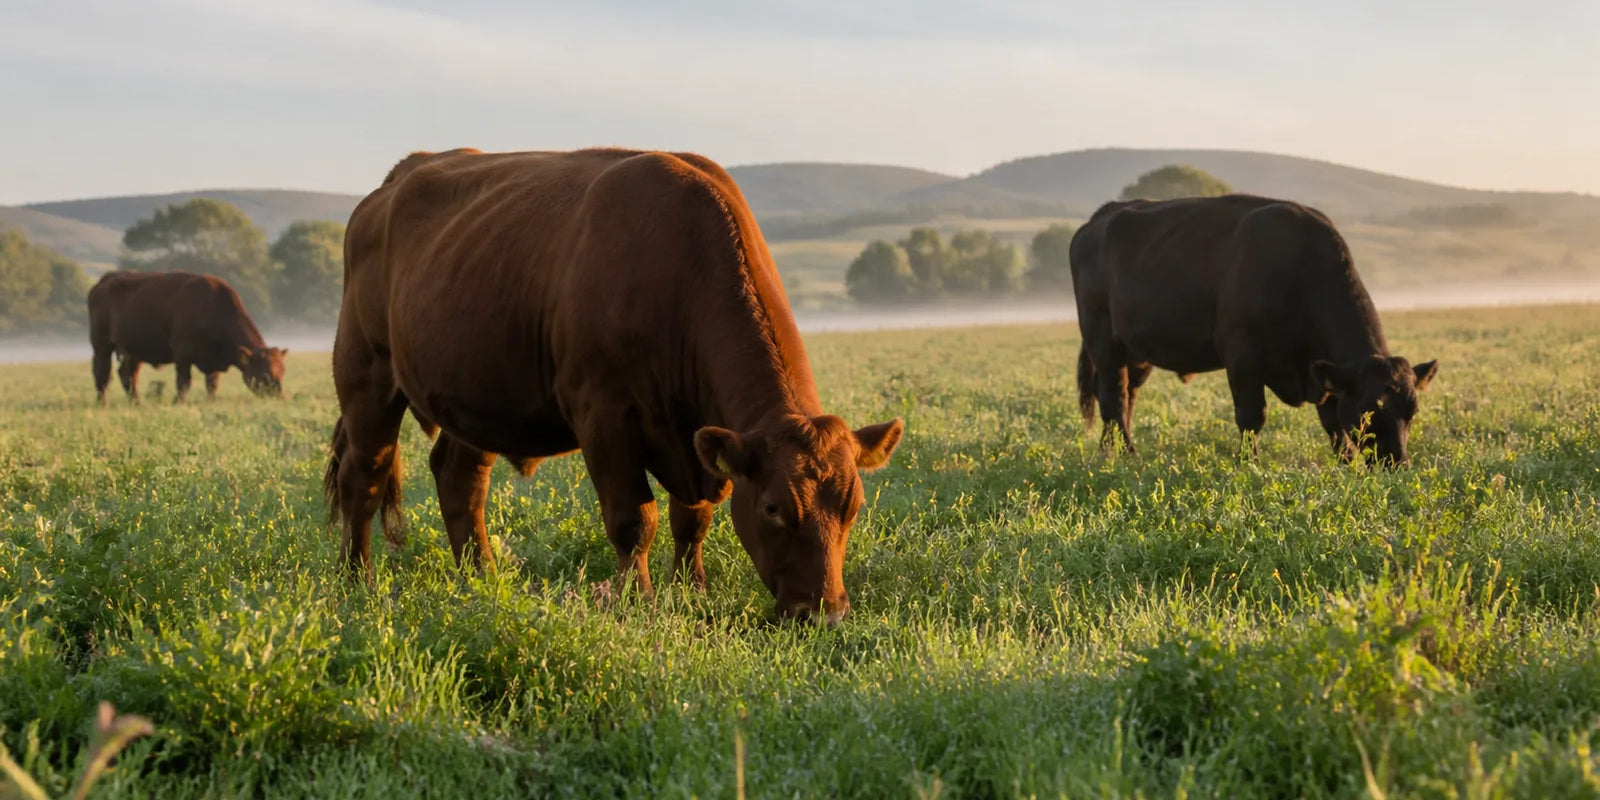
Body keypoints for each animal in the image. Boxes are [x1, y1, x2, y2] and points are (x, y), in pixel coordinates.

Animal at [88, 270, 287, 404]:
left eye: (283, 372)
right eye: (265, 374)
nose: (279, 397)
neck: (213, 307)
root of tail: (105, 280)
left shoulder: (212, 358)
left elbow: (212, 383)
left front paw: (210, 402)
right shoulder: (182, 354)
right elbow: (184, 382)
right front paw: (179, 402)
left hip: (133, 351)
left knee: (128, 375)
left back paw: (136, 403)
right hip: (102, 345)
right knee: (102, 373)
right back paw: (102, 403)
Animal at [326, 148, 904, 624]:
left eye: (854, 507)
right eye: (772, 508)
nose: (823, 613)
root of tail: (393, 182)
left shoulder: (696, 439)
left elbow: (692, 519)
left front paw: (691, 591)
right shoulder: (603, 415)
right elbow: (635, 519)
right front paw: (639, 602)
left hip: (476, 394)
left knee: (459, 481)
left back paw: (481, 579)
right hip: (367, 373)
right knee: (364, 479)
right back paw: (357, 583)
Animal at [1071, 195, 1437, 466]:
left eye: (1412, 411)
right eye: (1367, 412)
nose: (1397, 462)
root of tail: (1101, 216)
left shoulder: (1323, 370)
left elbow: (1331, 419)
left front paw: (1345, 461)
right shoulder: (1242, 355)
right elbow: (1252, 415)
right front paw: (1250, 463)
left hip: (1137, 351)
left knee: (1127, 396)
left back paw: (1112, 449)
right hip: (1102, 338)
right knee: (1113, 396)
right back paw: (1126, 454)